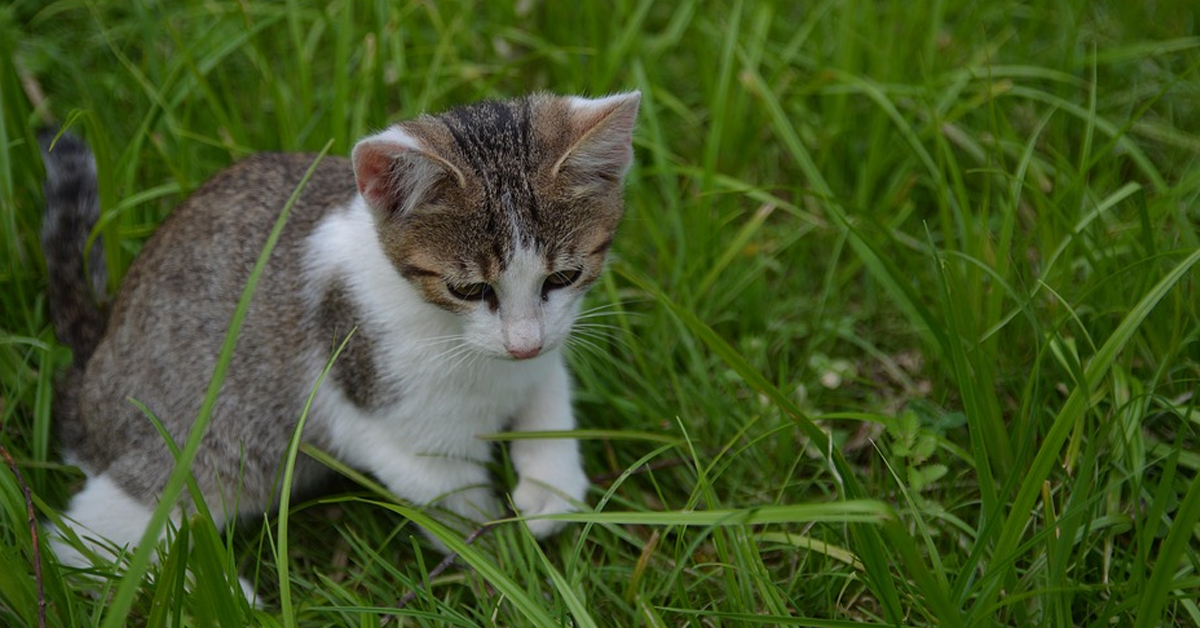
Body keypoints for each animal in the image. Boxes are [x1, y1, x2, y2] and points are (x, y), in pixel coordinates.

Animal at [39, 90, 638, 588]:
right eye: (469, 289)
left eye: (563, 277)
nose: (522, 343)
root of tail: (88, 376)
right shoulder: (370, 408)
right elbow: (445, 490)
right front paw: (501, 564)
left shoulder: (550, 344)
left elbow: (549, 397)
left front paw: (550, 491)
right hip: (203, 440)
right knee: (88, 536)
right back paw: (214, 594)